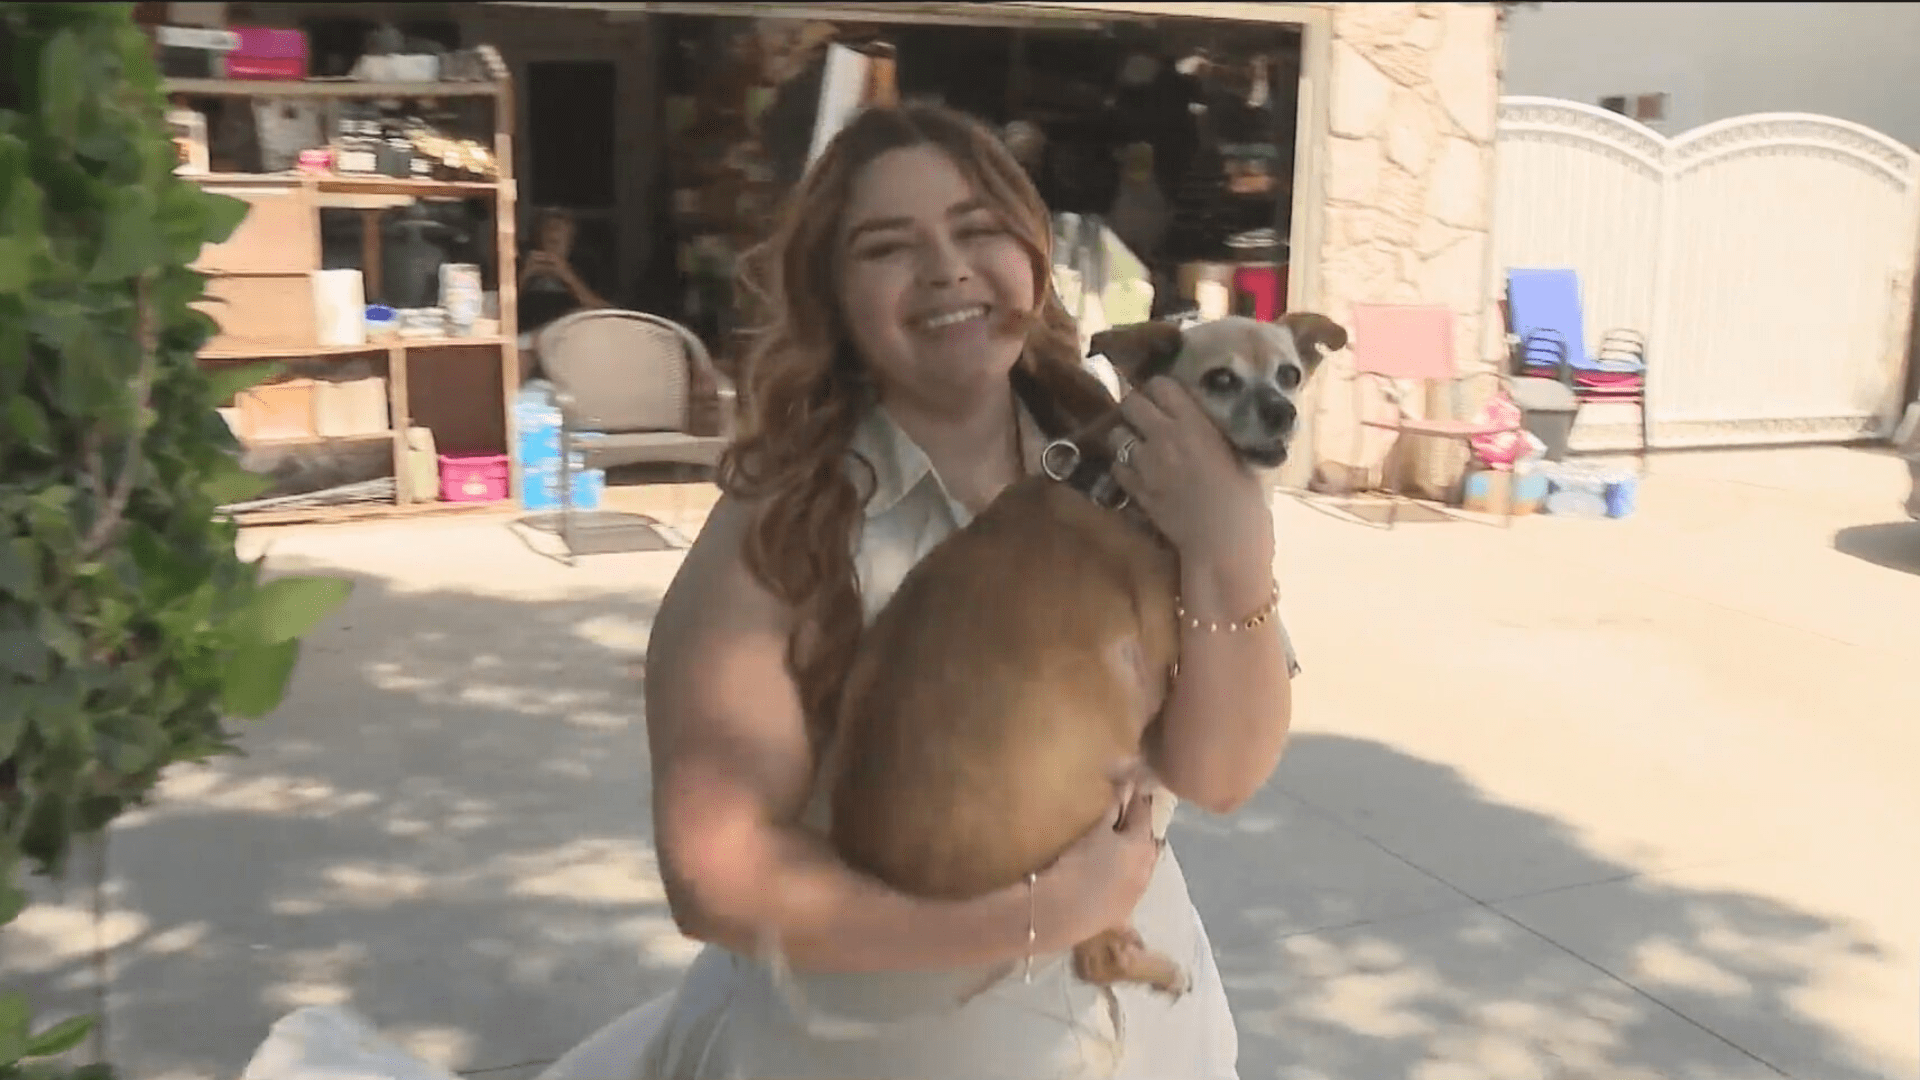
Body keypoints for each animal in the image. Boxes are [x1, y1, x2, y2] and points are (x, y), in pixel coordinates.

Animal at [825, 313, 1351, 999]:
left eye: (1289, 373)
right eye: (1221, 380)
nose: (1281, 410)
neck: (1121, 487)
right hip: (1086, 841)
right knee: (1095, 956)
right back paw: (1160, 968)